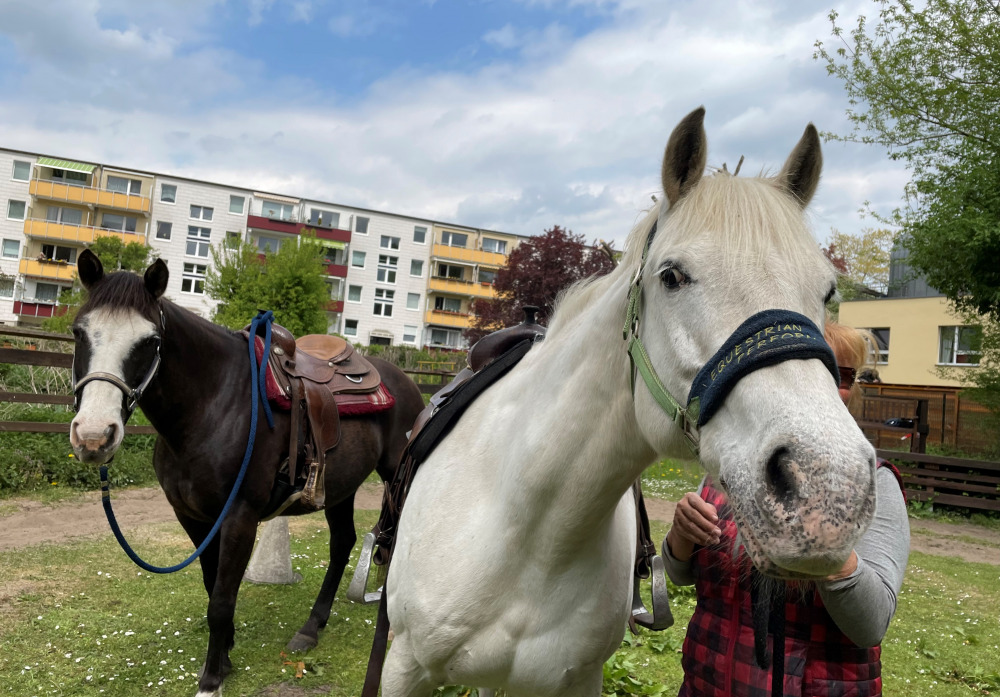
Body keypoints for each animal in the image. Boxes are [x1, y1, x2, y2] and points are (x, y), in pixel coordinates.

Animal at [66, 251, 426, 696]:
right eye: (79, 332)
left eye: (150, 341)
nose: (94, 436)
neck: (212, 406)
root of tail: (405, 382)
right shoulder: (192, 516)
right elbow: (212, 585)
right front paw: (226, 652)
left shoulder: (240, 516)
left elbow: (221, 599)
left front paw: (212, 677)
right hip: (341, 488)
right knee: (342, 542)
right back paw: (311, 628)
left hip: (398, 477)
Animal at [382, 109, 876, 696]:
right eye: (672, 276)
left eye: (827, 292)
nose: (830, 490)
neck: (526, 526)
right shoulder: (403, 666)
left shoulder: (574, 680)